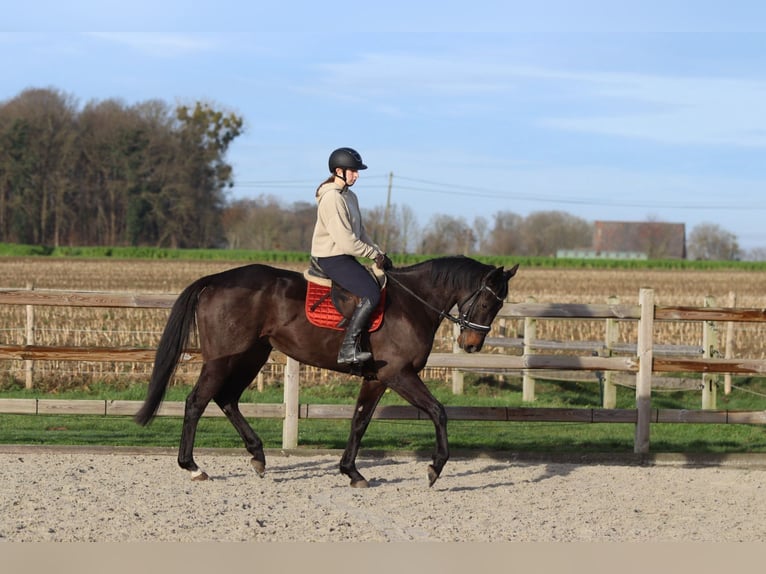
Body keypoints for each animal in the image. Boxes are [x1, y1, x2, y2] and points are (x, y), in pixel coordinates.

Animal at [134, 256, 519, 487]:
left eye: (499, 305)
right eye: (487, 301)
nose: (472, 344)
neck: (412, 303)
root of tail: (216, 280)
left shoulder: (376, 379)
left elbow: (359, 421)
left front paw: (352, 472)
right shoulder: (398, 374)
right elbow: (438, 412)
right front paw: (435, 468)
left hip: (251, 356)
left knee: (227, 398)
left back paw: (258, 456)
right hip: (223, 359)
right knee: (197, 402)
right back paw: (193, 466)